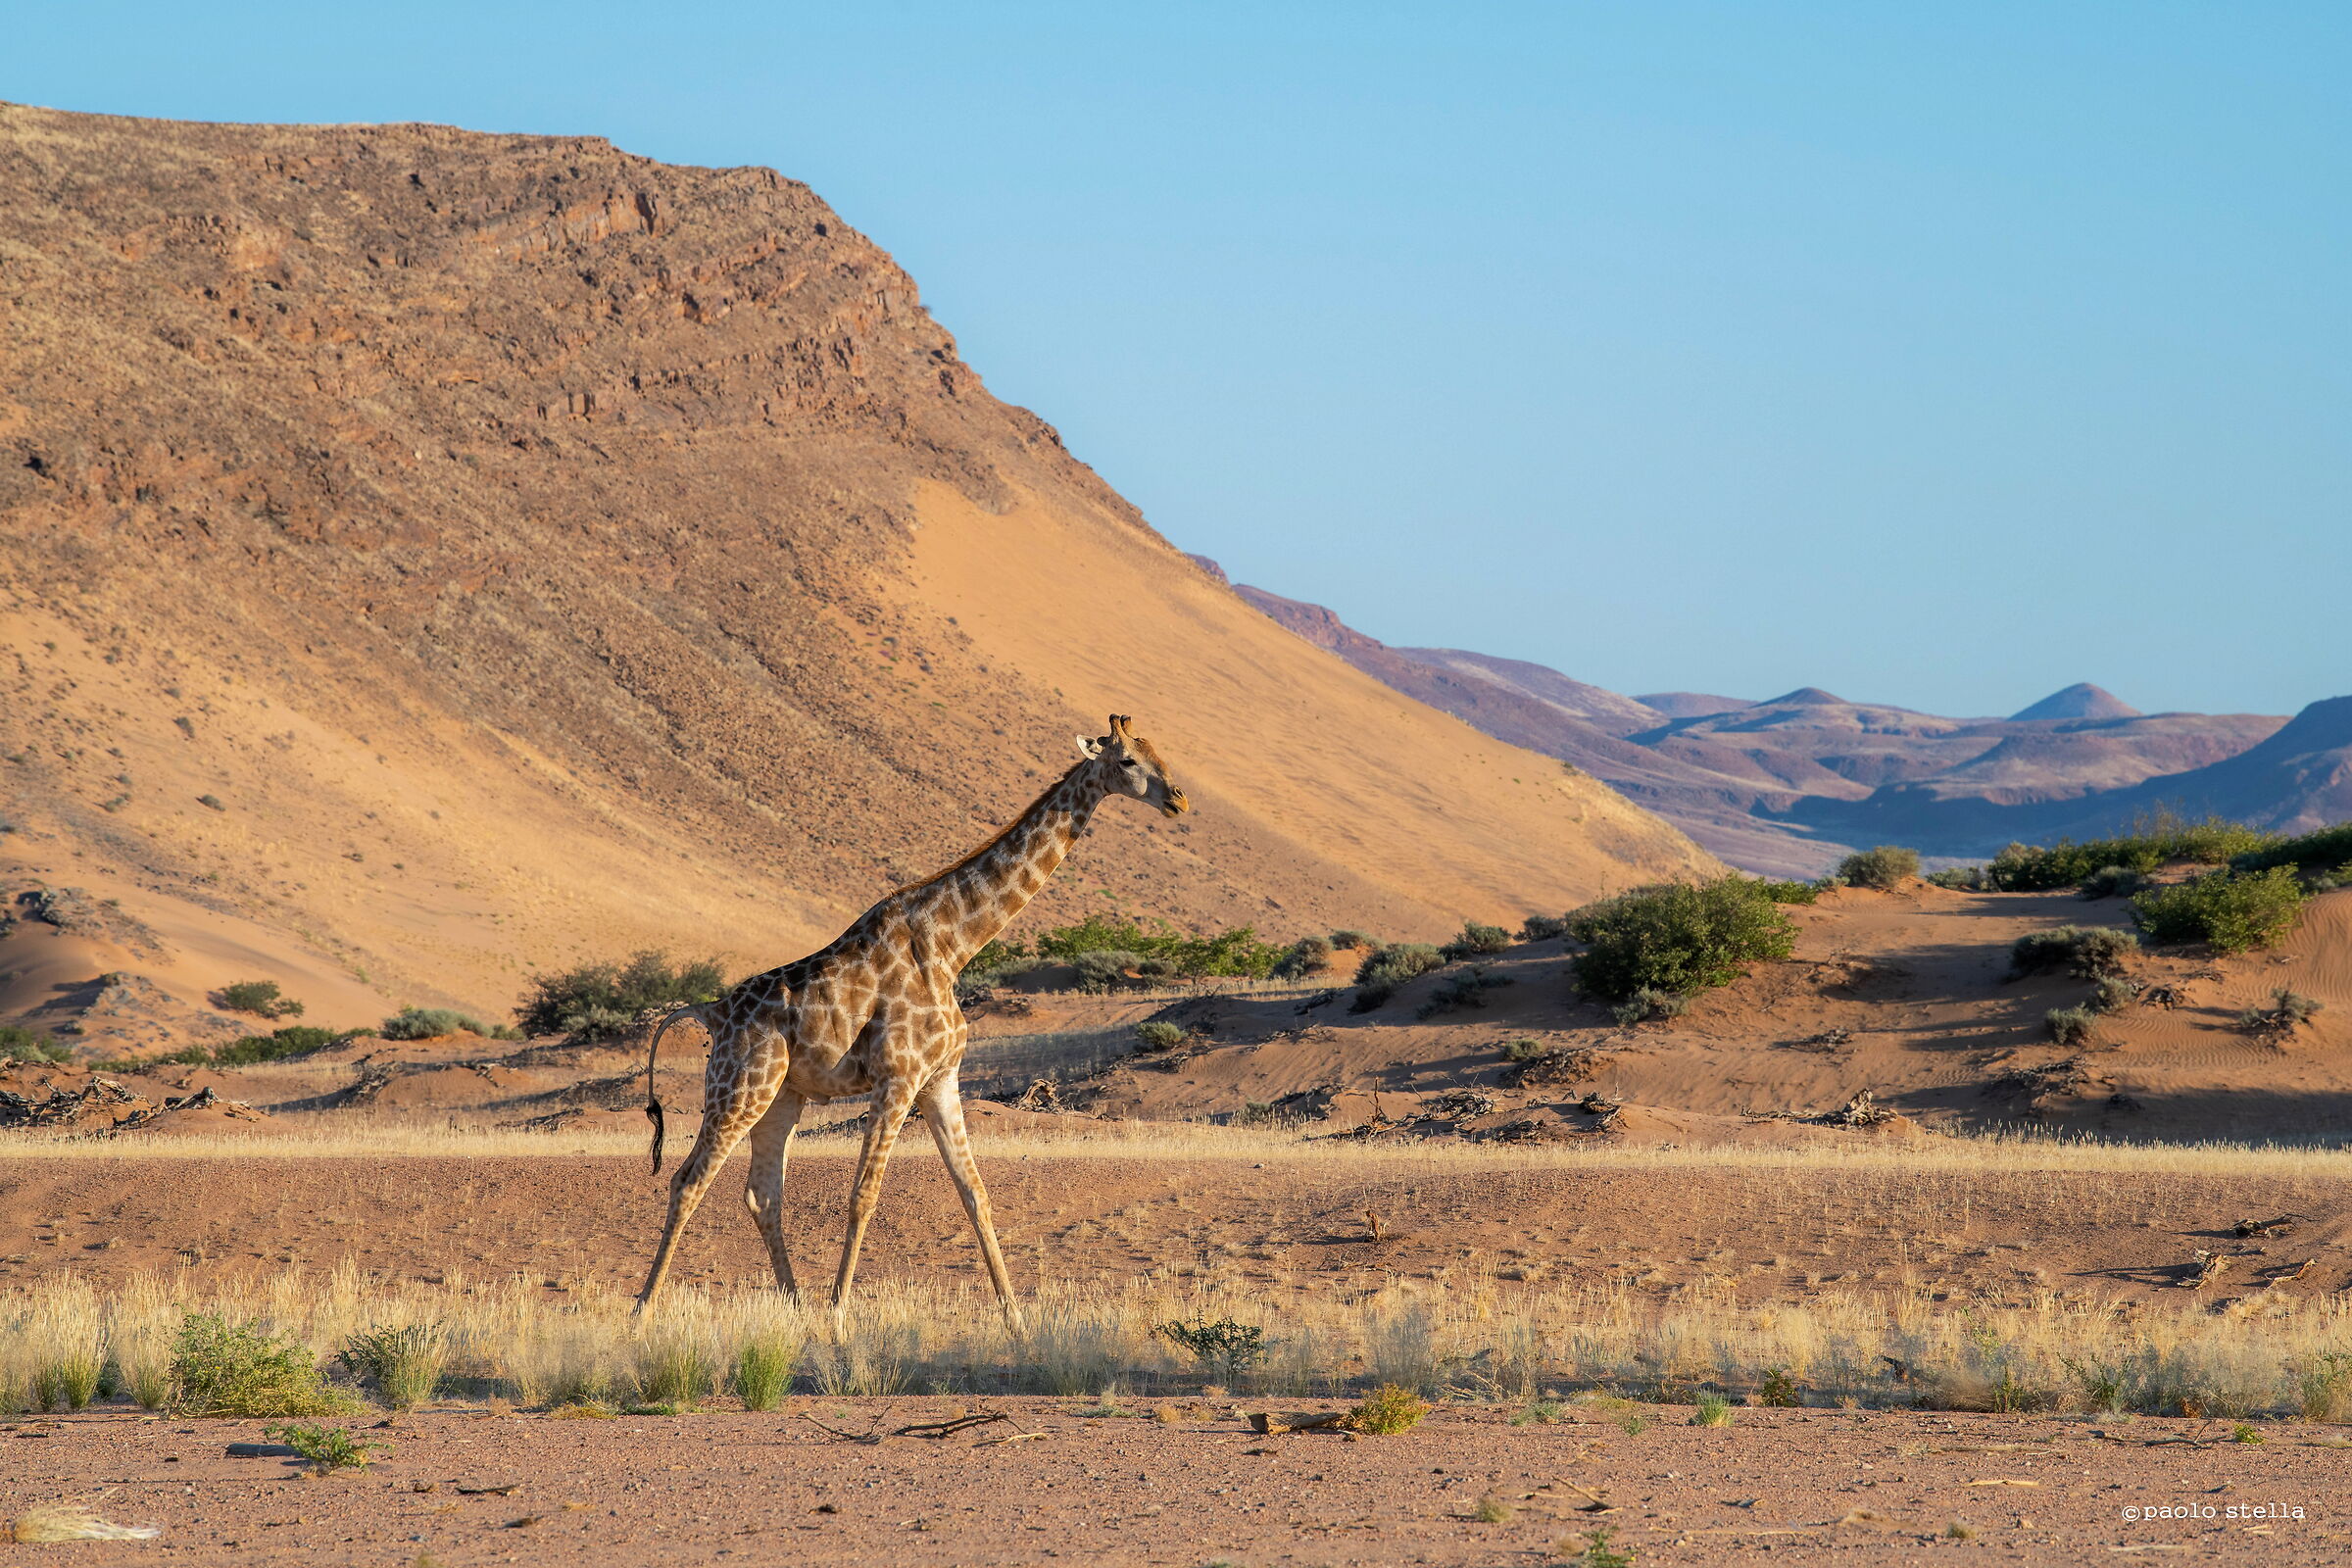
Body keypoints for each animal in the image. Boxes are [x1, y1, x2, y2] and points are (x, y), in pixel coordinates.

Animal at [633, 714, 1190, 1317]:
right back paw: (643, 1312)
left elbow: (976, 1195)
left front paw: (1015, 1317)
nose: (1178, 799)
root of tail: (711, 1012)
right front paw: (837, 1318)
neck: (952, 945)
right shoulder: (897, 1079)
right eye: (1128, 760)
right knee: (687, 1181)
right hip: (739, 1088)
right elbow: (863, 1196)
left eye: (1158, 751)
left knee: (762, 1194)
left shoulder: (940, 1079)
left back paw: (794, 1306)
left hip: (782, 1096)